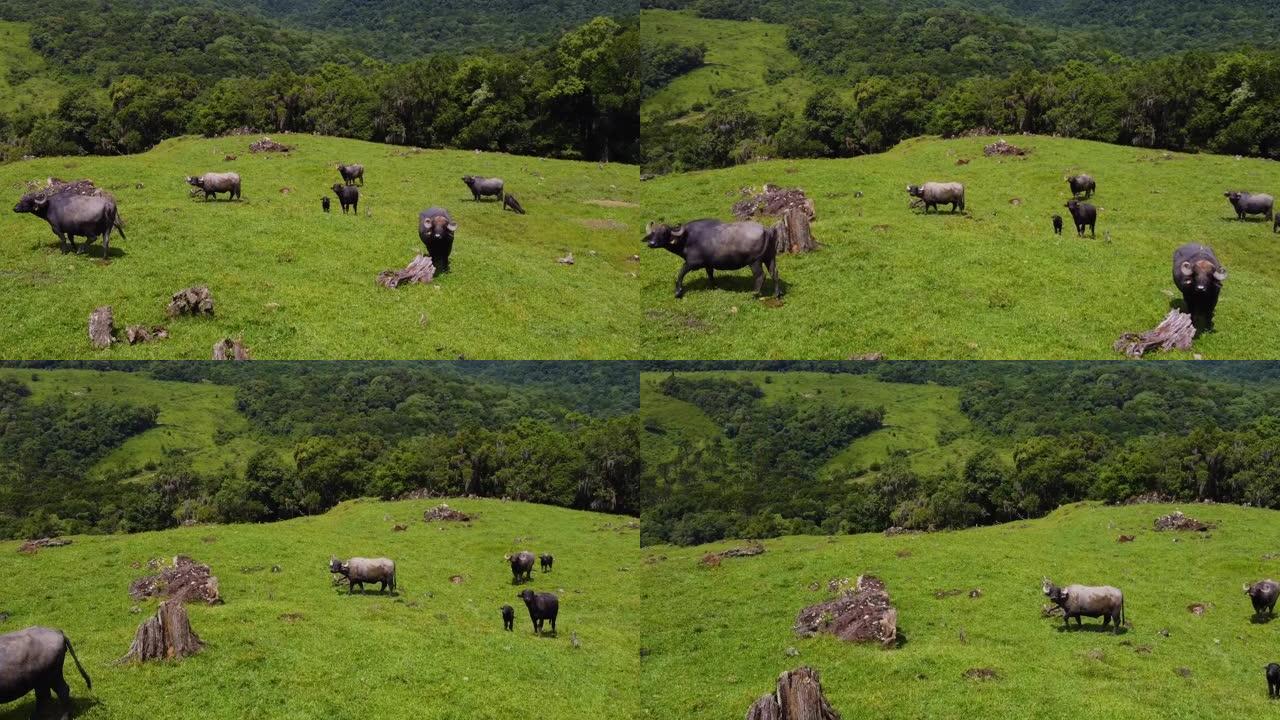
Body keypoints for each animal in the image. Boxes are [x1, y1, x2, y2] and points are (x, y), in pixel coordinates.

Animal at [650, 219, 778, 297]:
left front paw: (678, 292)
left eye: (664, 233)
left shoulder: (691, 263)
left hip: (755, 261)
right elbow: (710, 274)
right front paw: (714, 286)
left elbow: (681, 273)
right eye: (652, 233)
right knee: (774, 273)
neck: (686, 238)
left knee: (760, 275)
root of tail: (766, 230)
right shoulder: (708, 264)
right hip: (770, 258)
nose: (651, 243)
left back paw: (755, 293)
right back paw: (777, 294)